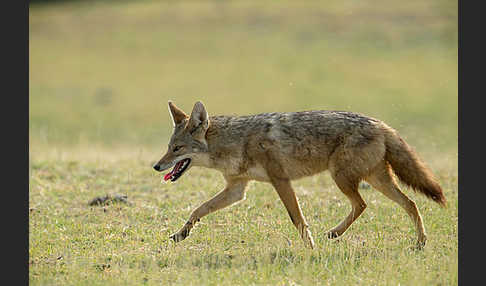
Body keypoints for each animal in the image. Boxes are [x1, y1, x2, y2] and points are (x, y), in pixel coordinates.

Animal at [154, 100, 446, 248]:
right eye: (168, 147)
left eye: (176, 149)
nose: (156, 166)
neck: (236, 141)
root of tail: (382, 123)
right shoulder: (237, 190)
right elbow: (199, 209)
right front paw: (181, 234)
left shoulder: (280, 181)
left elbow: (297, 219)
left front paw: (310, 247)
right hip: (374, 180)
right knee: (409, 203)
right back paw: (419, 242)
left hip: (343, 178)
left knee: (365, 204)